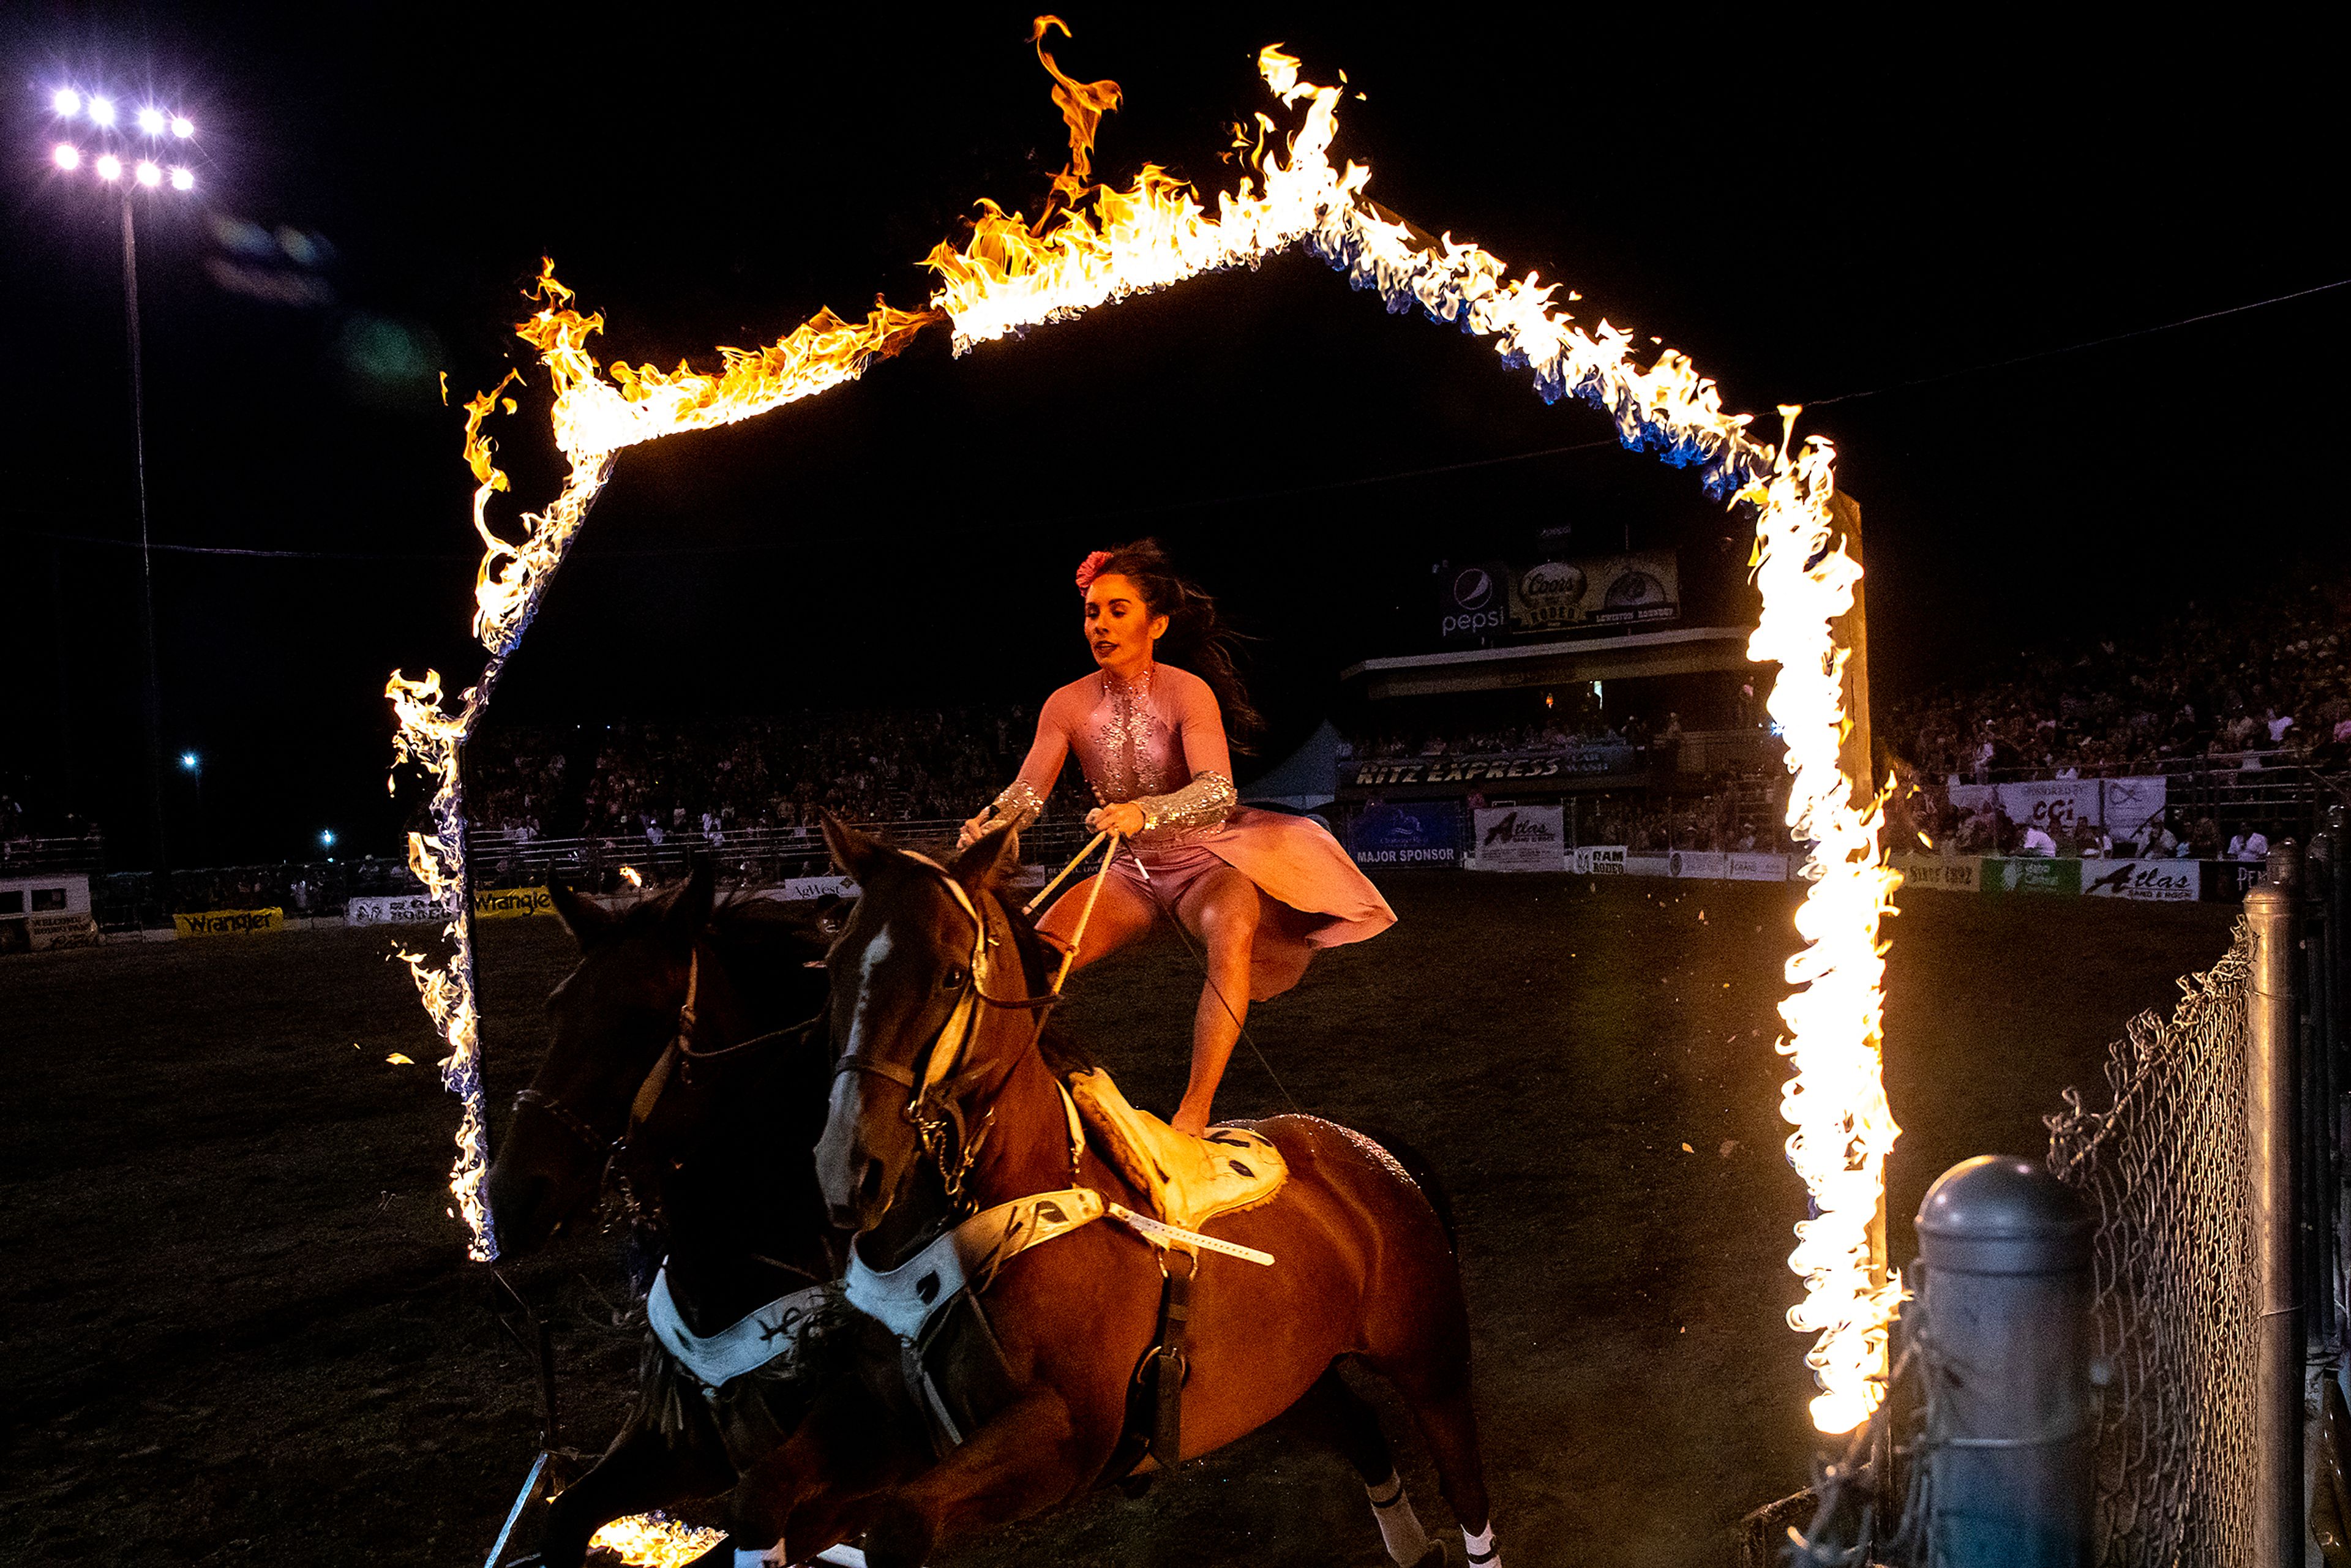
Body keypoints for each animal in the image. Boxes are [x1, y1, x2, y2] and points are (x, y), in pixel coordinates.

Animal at [799, 822, 1504, 1568]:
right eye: (834, 966)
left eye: (952, 974)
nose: (848, 1166)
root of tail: (1372, 1151)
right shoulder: (871, 1423)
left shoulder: (1062, 1443)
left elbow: (901, 1519)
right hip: (1292, 1377)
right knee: (1365, 1433)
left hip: (1431, 1362)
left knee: (1465, 1486)